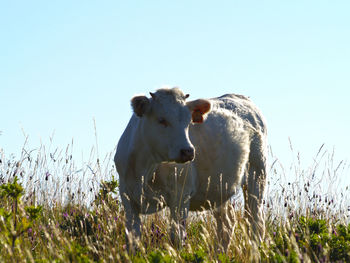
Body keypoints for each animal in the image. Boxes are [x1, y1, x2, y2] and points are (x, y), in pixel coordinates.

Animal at [115, 87, 268, 252]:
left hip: (257, 175)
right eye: (161, 120)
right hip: (219, 187)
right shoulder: (127, 196)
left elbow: (176, 238)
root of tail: (241, 97)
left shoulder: (181, 195)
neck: (146, 169)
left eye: (189, 122)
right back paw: (219, 254)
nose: (187, 151)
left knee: (255, 221)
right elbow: (132, 240)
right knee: (227, 222)